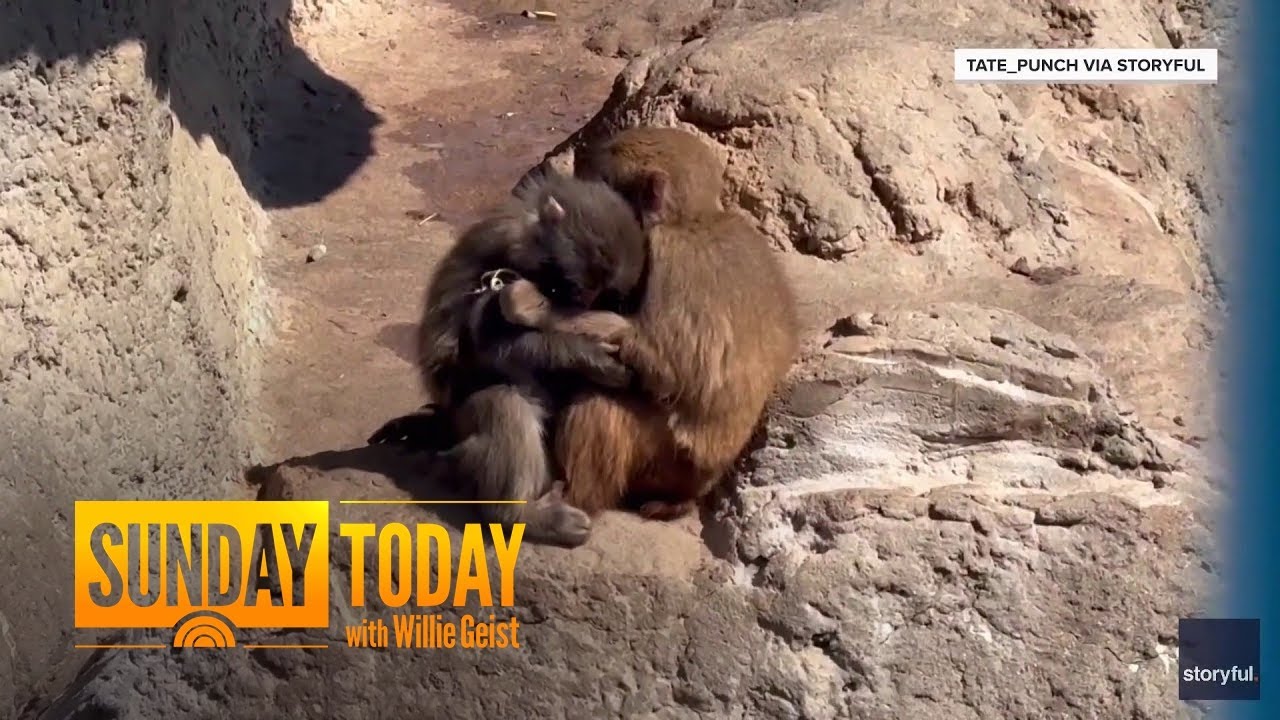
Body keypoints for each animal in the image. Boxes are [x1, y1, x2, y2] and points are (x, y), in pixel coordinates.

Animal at [368, 172, 651, 547]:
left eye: (602, 295)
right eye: (576, 287)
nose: (581, 304)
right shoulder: (497, 258)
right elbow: (485, 346)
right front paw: (588, 356)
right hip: (462, 417)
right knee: (503, 403)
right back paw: (519, 515)